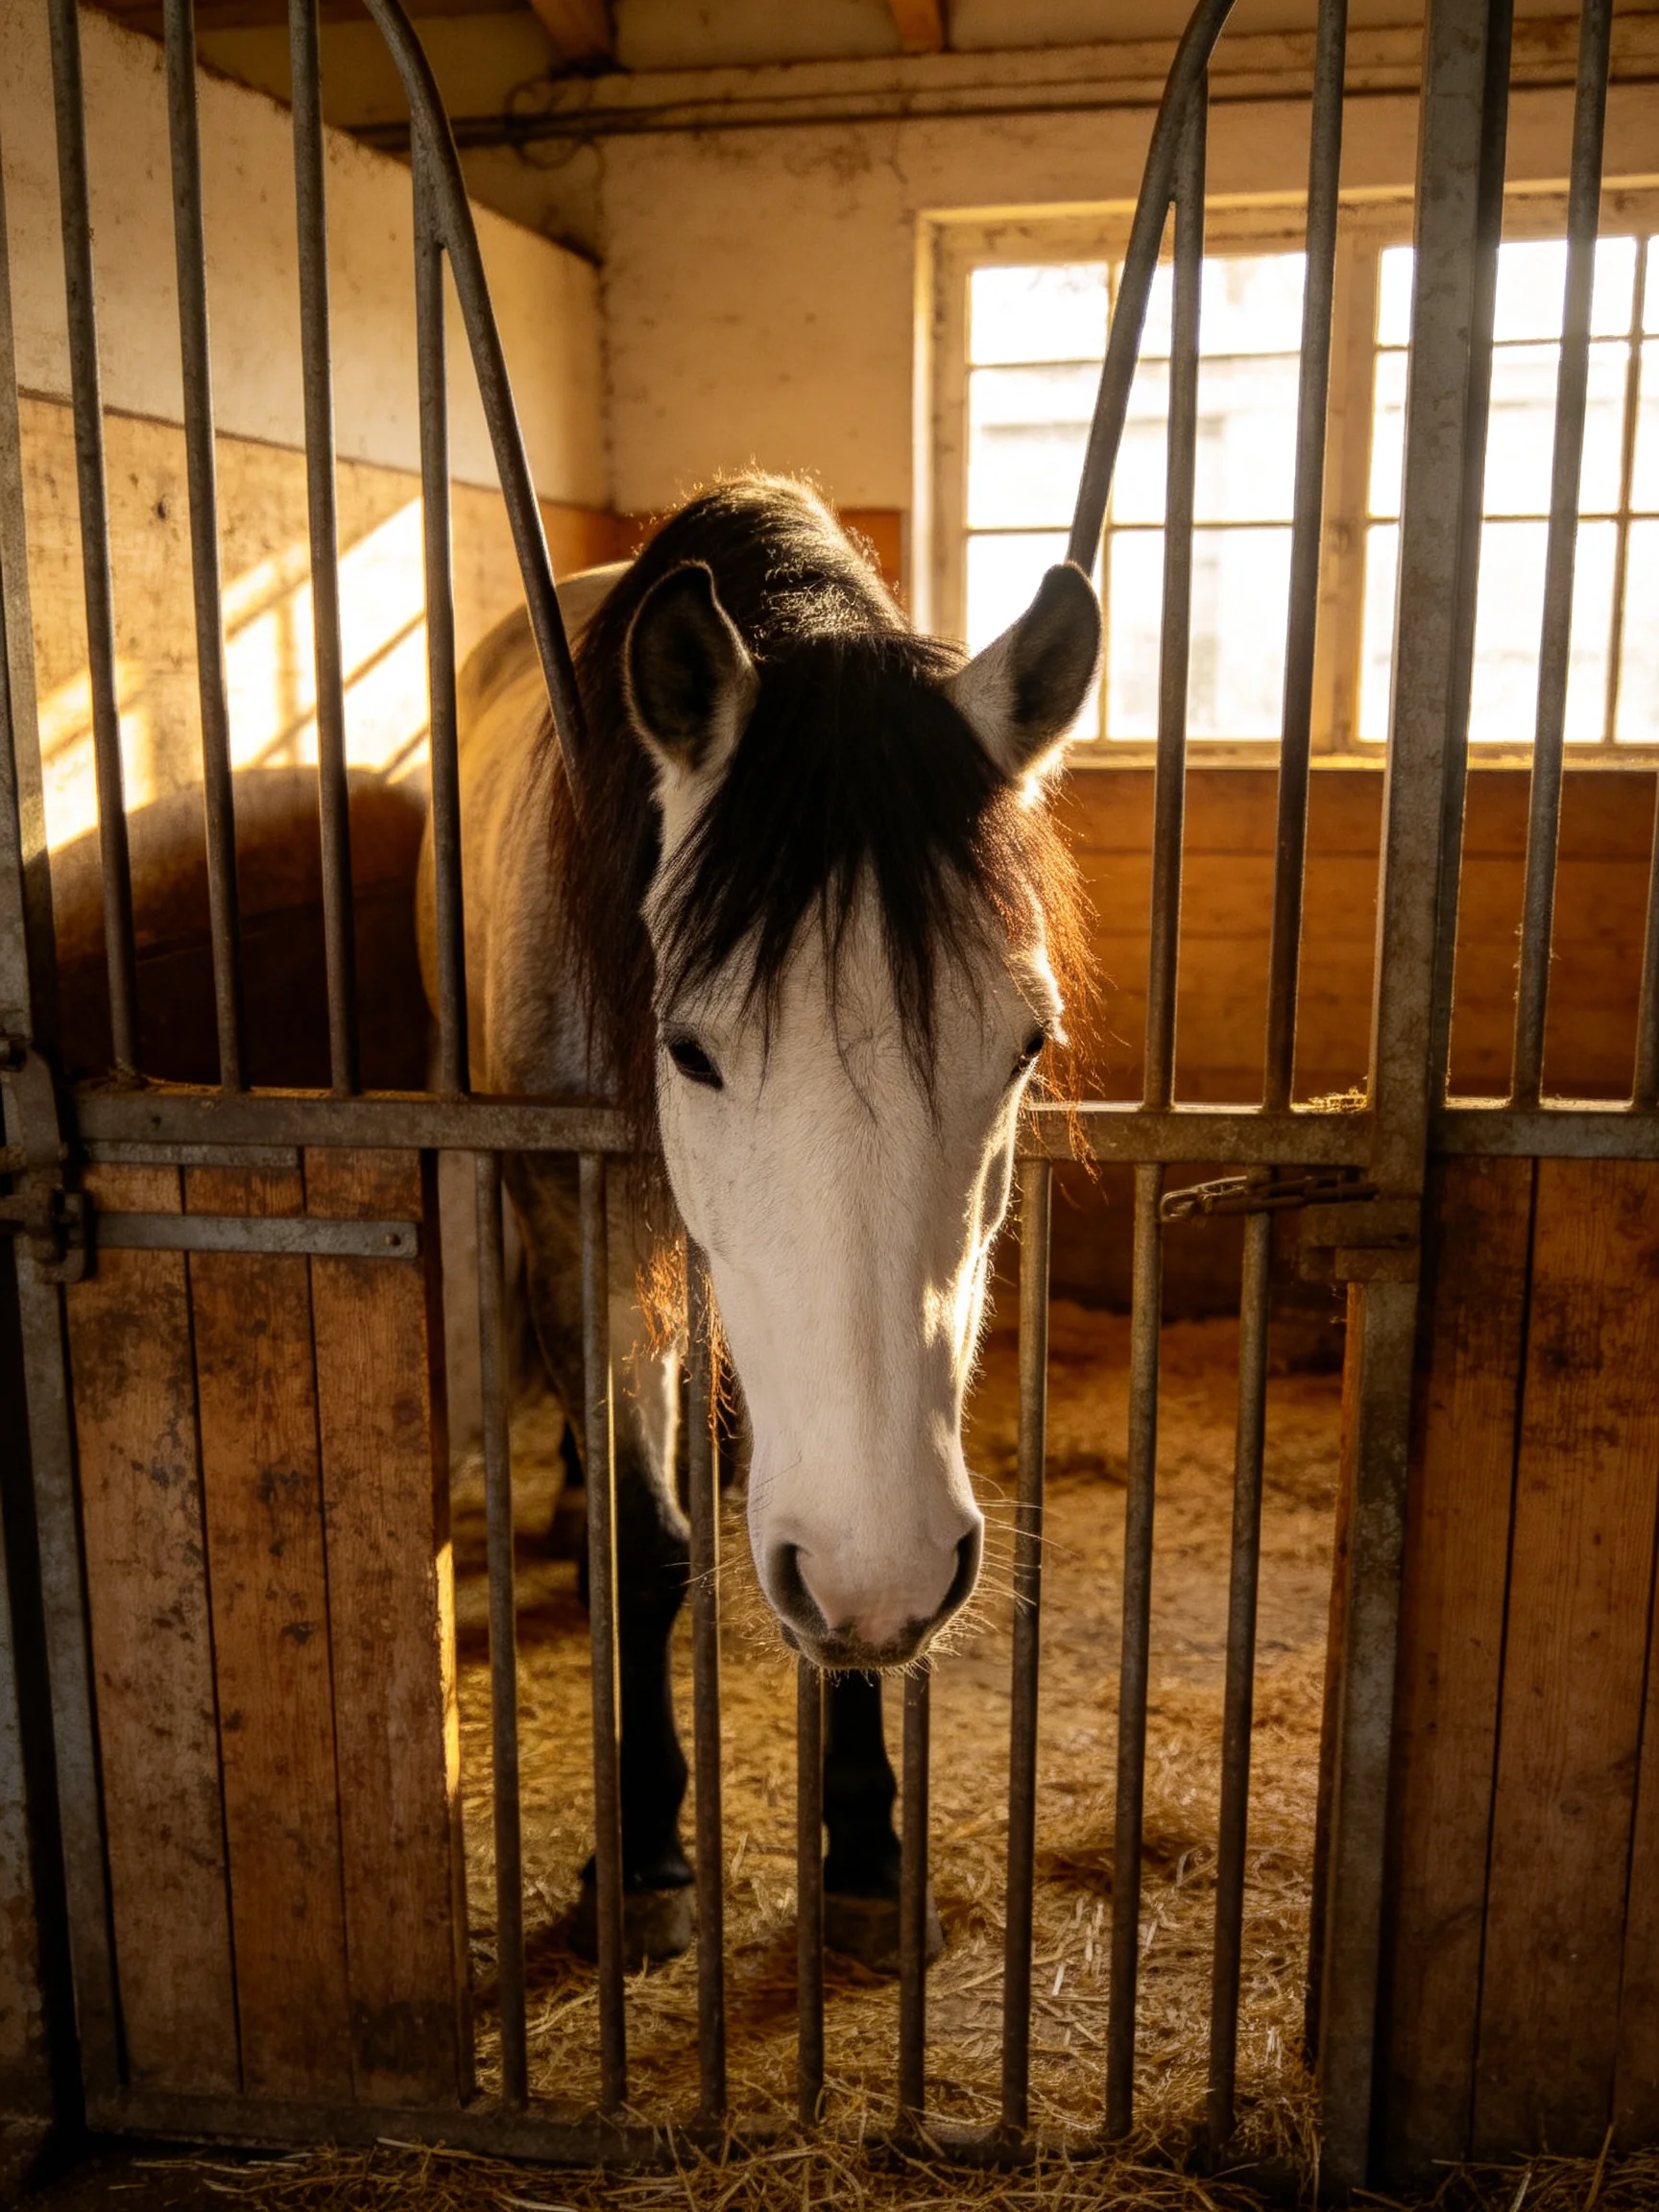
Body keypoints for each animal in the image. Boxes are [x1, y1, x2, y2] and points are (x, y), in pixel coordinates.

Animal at [417, 473, 1100, 1969]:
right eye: (688, 1049)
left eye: (1025, 1045)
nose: (879, 1565)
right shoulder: (591, 1229)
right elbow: (651, 1551)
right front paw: (646, 1853)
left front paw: (865, 1841)